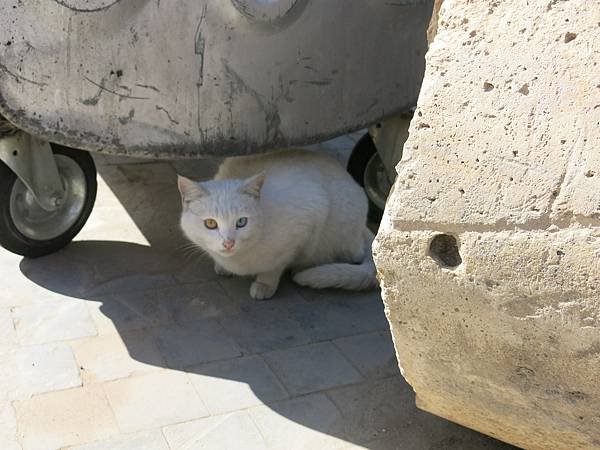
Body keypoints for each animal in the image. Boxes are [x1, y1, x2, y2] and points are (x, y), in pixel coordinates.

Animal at [176, 149, 378, 300]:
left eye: (241, 222)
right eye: (210, 223)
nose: (228, 243)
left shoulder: (308, 216)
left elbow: (275, 265)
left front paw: (265, 284)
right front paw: (222, 266)